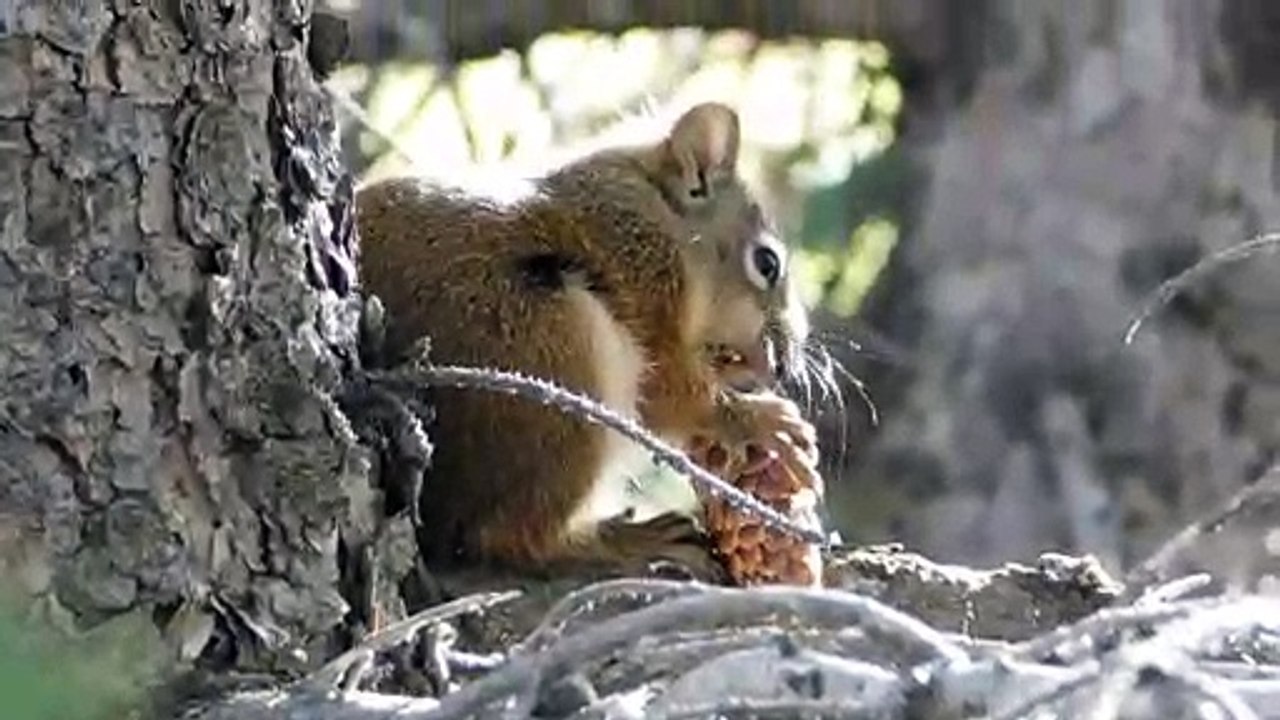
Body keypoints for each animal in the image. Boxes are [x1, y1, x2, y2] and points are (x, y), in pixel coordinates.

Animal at [355, 103, 819, 579]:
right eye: (767, 263)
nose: (786, 366)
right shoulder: (639, 276)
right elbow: (669, 398)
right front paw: (762, 421)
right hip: (558, 358)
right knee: (513, 537)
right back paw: (633, 540)